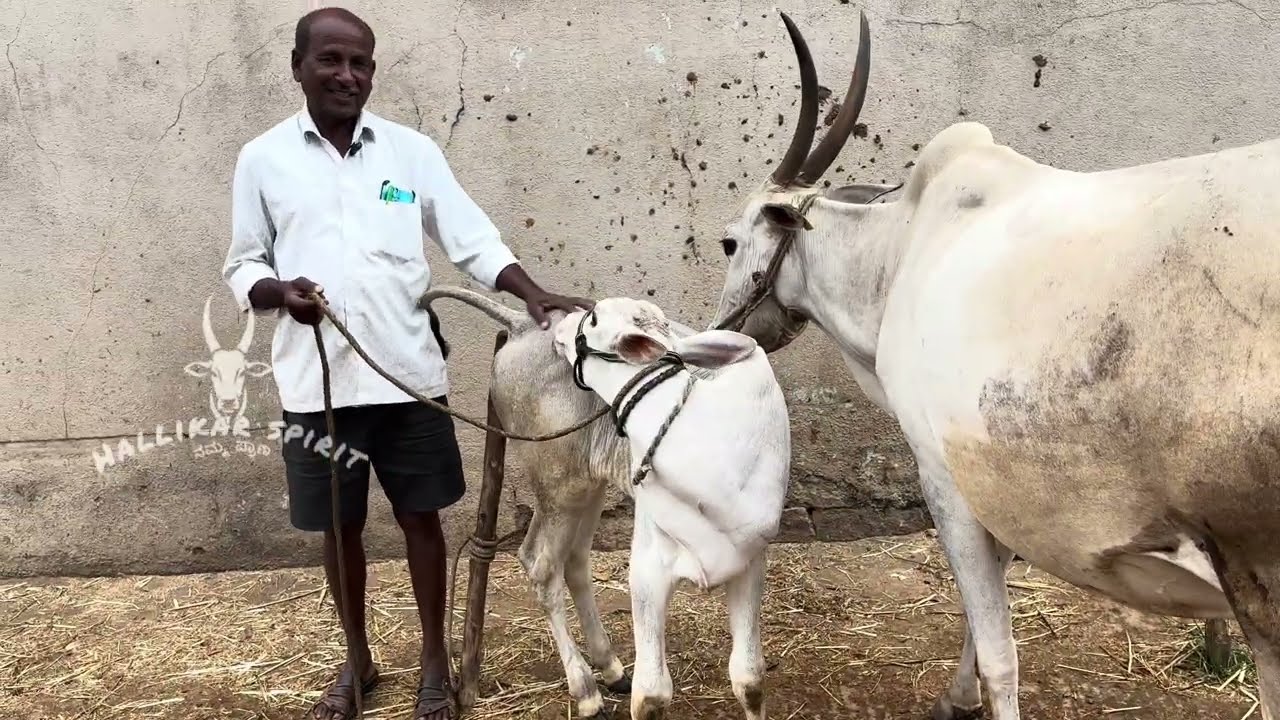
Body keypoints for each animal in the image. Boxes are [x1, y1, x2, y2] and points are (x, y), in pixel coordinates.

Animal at [419, 286, 786, 720]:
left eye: (593, 318)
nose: (562, 325)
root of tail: (520, 323)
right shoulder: (648, 568)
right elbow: (651, 695)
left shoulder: (750, 559)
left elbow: (750, 679)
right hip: (558, 483)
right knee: (542, 566)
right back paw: (585, 690)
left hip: (587, 485)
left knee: (571, 560)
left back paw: (609, 667)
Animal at [708, 9, 1280, 720]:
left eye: (731, 243)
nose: (722, 330)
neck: (900, 250)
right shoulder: (992, 481)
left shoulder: (944, 478)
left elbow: (999, 650)